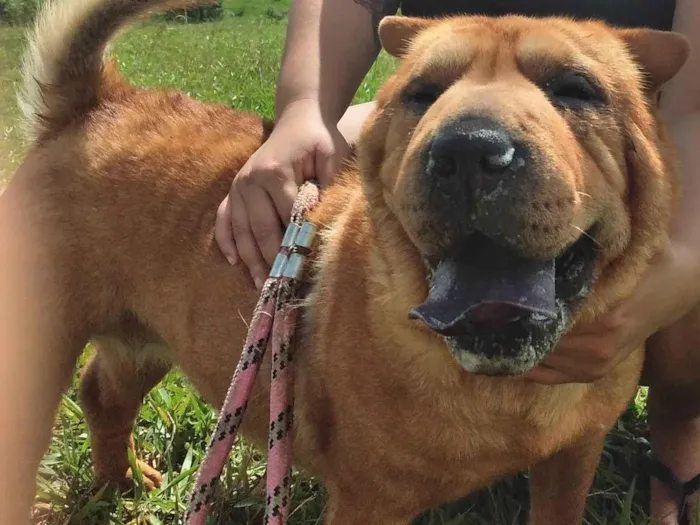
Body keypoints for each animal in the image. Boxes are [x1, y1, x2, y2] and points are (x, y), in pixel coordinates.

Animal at [0, 0, 688, 520]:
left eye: (576, 89)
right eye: (421, 93)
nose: (467, 149)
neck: (507, 392)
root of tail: (97, 102)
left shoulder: (572, 460)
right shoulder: (369, 502)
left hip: (146, 335)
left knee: (103, 394)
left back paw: (120, 484)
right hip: (39, 354)